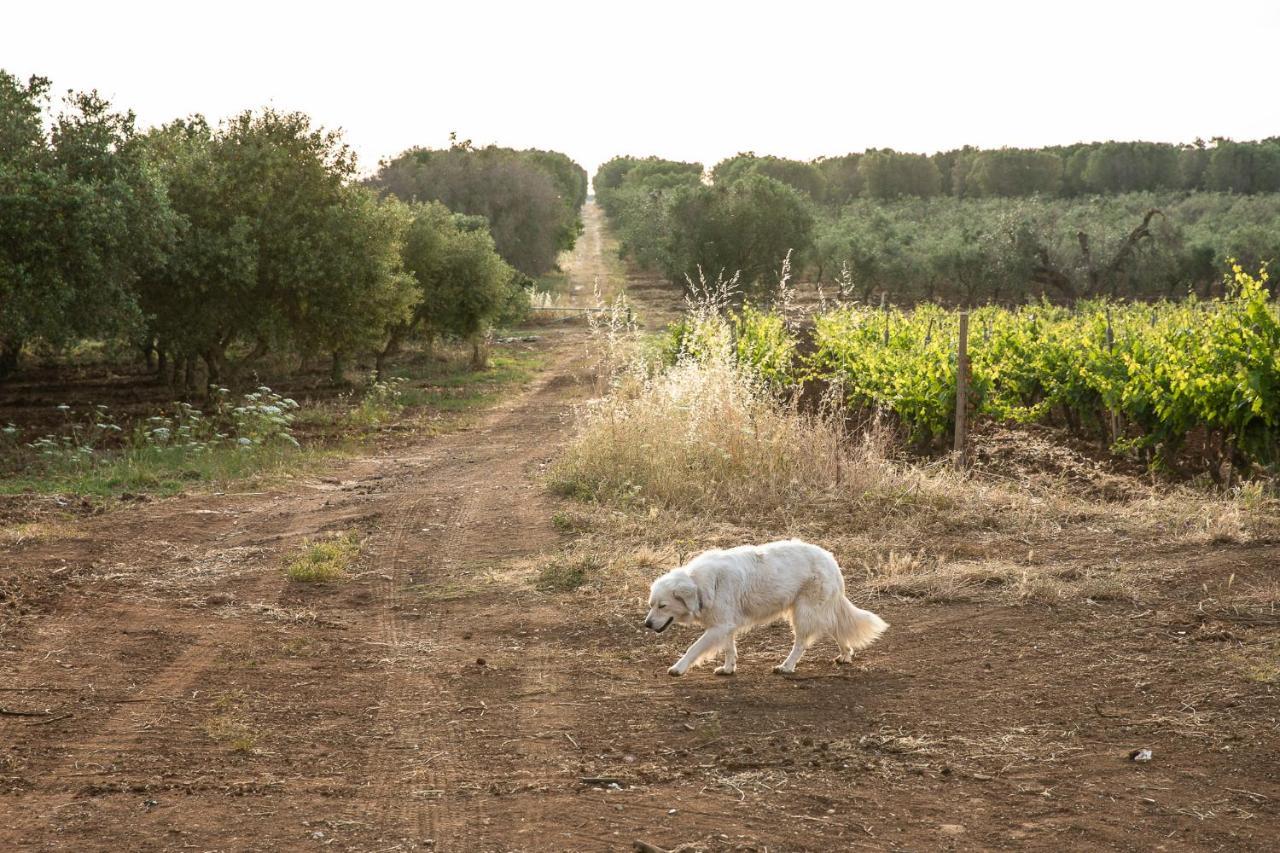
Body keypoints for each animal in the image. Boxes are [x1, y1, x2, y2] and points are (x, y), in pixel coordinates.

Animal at [645, 540, 885, 676]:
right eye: (651, 605)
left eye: (662, 606)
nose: (646, 624)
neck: (699, 584)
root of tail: (831, 560)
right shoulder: (725, 625)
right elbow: (729, 649)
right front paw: (728, 669)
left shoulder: (718, 627)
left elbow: (694, 648)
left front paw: (678, 668)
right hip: (818, 611)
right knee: (836, 628)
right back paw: (845, 655)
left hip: (803, 614)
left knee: (801, 644)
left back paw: (787, 667)